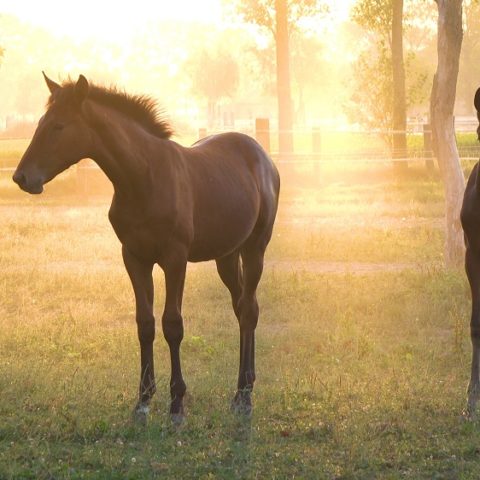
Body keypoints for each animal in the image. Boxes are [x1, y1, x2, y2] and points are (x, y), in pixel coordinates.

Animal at [13, 72, 280, 424]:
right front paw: (142, 401)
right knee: (242, 308)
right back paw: (241, 390)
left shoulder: (175, 259)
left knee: (248, 309)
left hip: (254, 249)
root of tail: (263, 155)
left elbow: (172, 325)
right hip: (226, 255)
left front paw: (177, 404)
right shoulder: (134, 257)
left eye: (58, 126)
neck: (143, 177)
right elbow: (145, 324)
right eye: (41, 123)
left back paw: (244, 396)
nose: (21, 177)